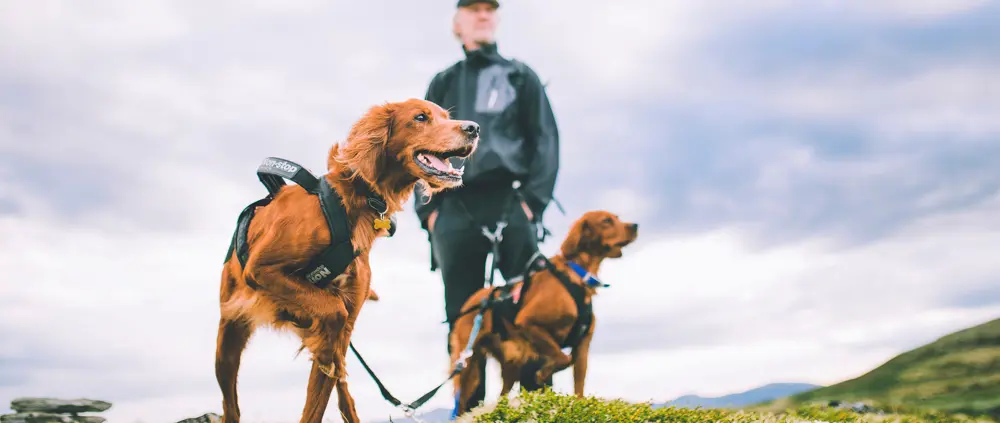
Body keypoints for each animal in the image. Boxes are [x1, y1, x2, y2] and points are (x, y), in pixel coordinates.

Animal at [218, 98, 480, 423]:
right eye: (421, 117)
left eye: (446, 116)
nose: (474, 128)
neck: (353, 200)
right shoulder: (261, 268)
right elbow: (333, 312)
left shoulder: (347, 317)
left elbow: (321, 394)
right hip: (228, 338)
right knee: (231, 404)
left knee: (343, 391)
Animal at [448, 210, 636, 416]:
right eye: (606, 221)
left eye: (617, 218)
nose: (635, 226)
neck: (577, 276)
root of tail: (472, 302)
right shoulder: (528, 323)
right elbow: (564, 358)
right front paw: (543, 373)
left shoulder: (582, 345)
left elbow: (578, 384)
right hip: (469, 365)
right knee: (461, 402)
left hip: (511, 363)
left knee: (502, 394)